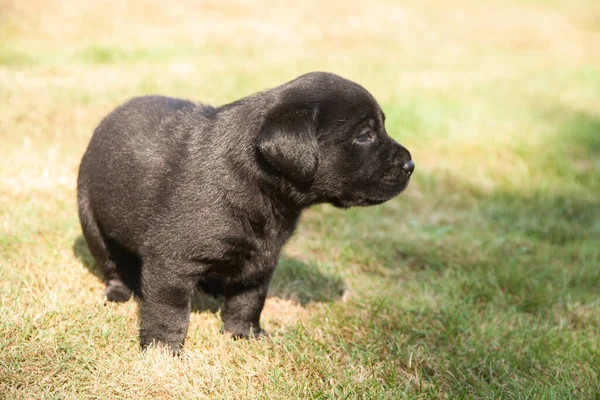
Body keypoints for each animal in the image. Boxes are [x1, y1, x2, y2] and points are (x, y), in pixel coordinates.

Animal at [77, 72, 414, 354]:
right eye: (365, 135)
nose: (410, 165)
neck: (260, 186)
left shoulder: (262, 259)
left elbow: (249, 300)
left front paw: (243, 334)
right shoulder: (170, 261)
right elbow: (168, 309)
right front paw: (163, 351)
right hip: (91, 220)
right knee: (112, 264)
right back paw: (119, 292)